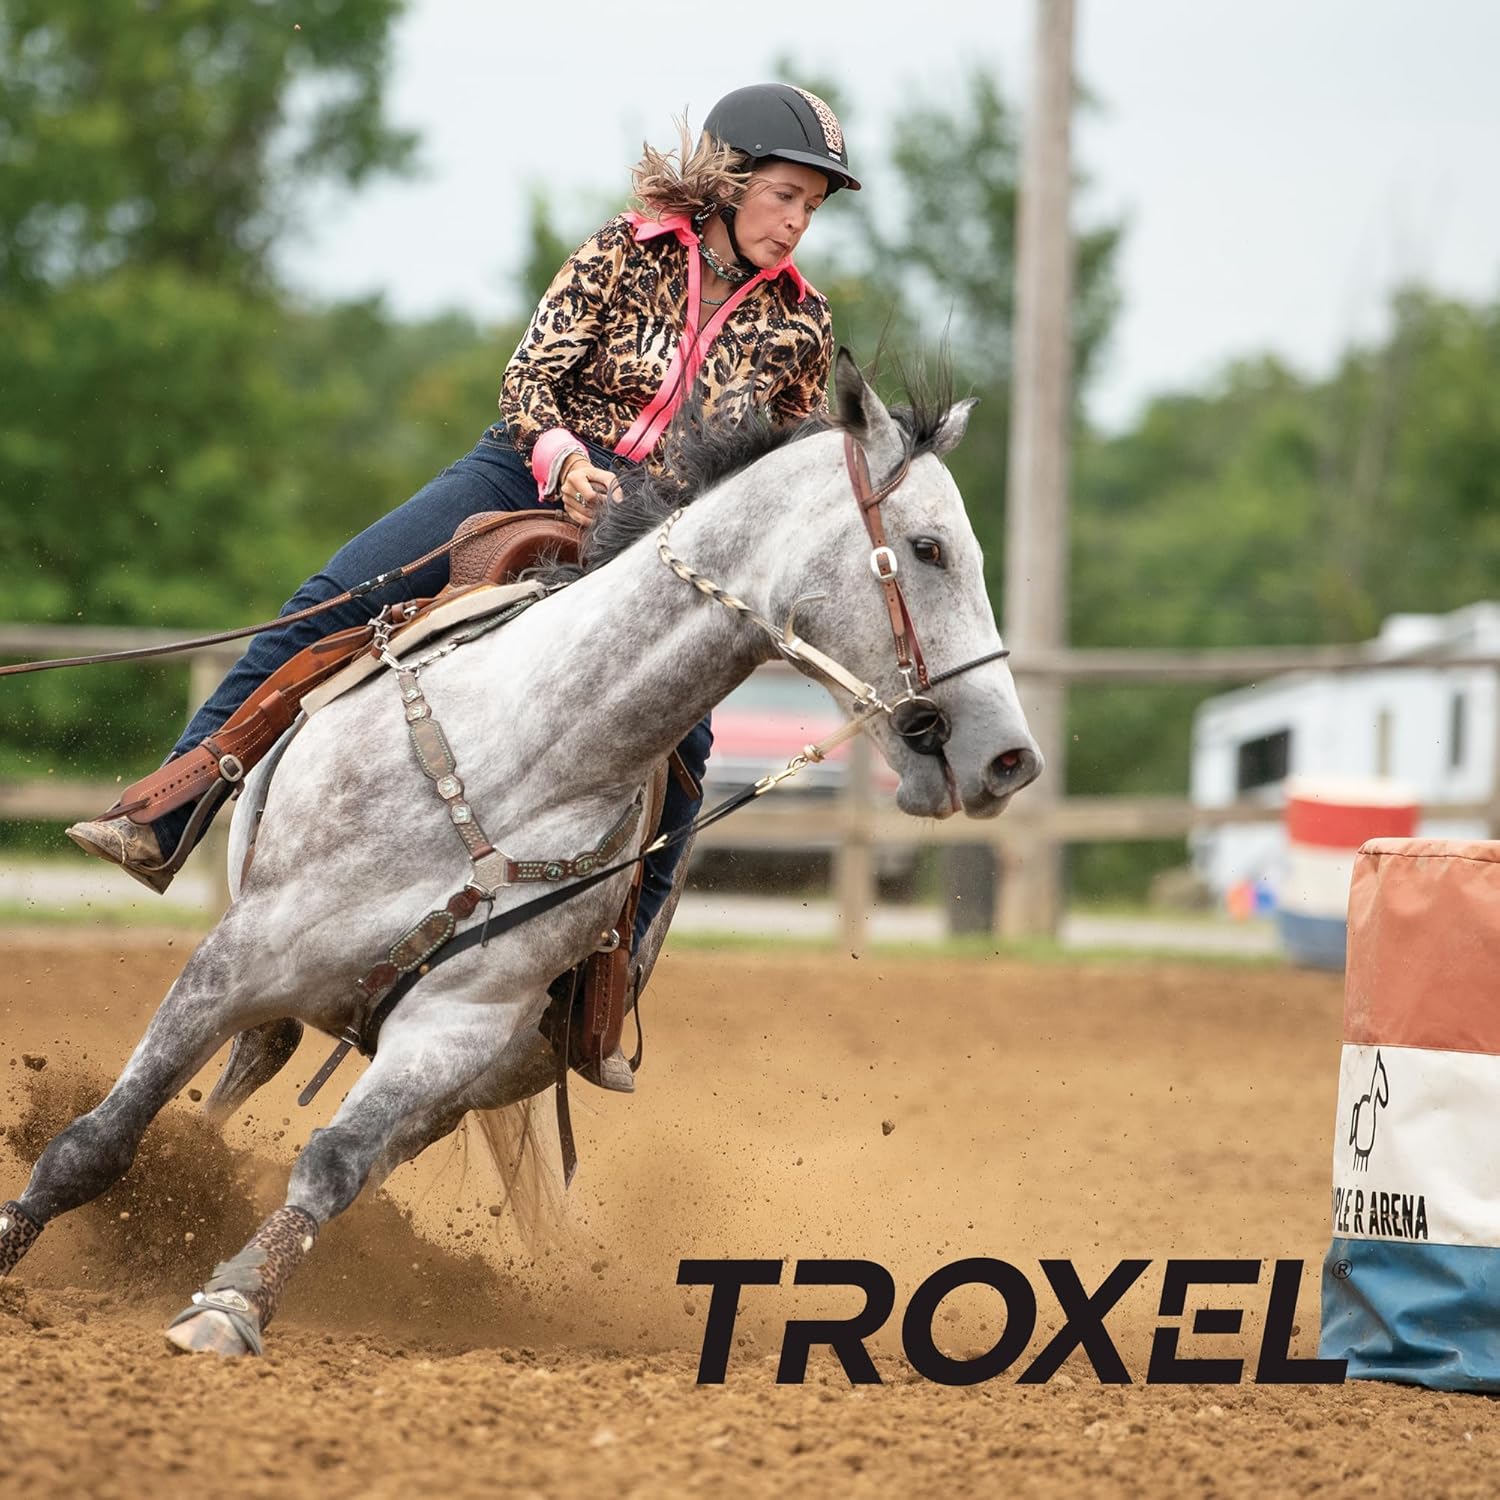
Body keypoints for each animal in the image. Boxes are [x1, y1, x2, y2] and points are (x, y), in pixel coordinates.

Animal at [0, 352, 1043, 1355]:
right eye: (929, 548)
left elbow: (334, 1164)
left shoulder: (455, 1028)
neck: (525, 753)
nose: (1010, 758)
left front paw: (232, 1302)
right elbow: (97, 1139)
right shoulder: (239, 955)